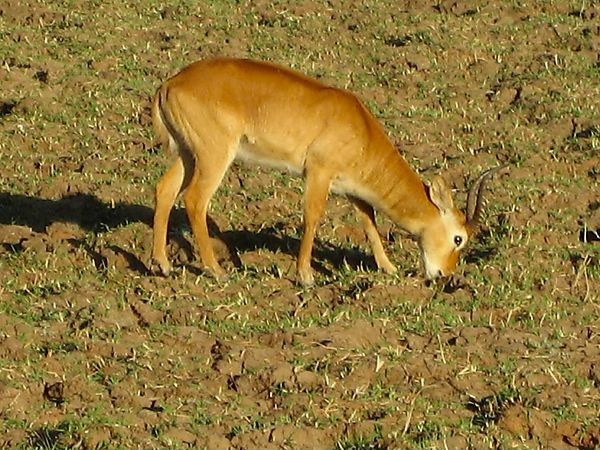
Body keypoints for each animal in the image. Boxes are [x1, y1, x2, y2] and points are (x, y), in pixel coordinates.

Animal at [149, 57, 502, 284]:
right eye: (458, 238)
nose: (444, 275)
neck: (360, 129)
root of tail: (170, 84)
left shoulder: (352, 189)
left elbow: (369, 223)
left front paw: (388, 268)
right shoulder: (318, 173)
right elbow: (312, 217)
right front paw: (305, 276)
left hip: (187, 154)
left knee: (164, 190)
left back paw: (162, 265)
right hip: (214, 156)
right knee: (195, 200)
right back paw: (217, 271)